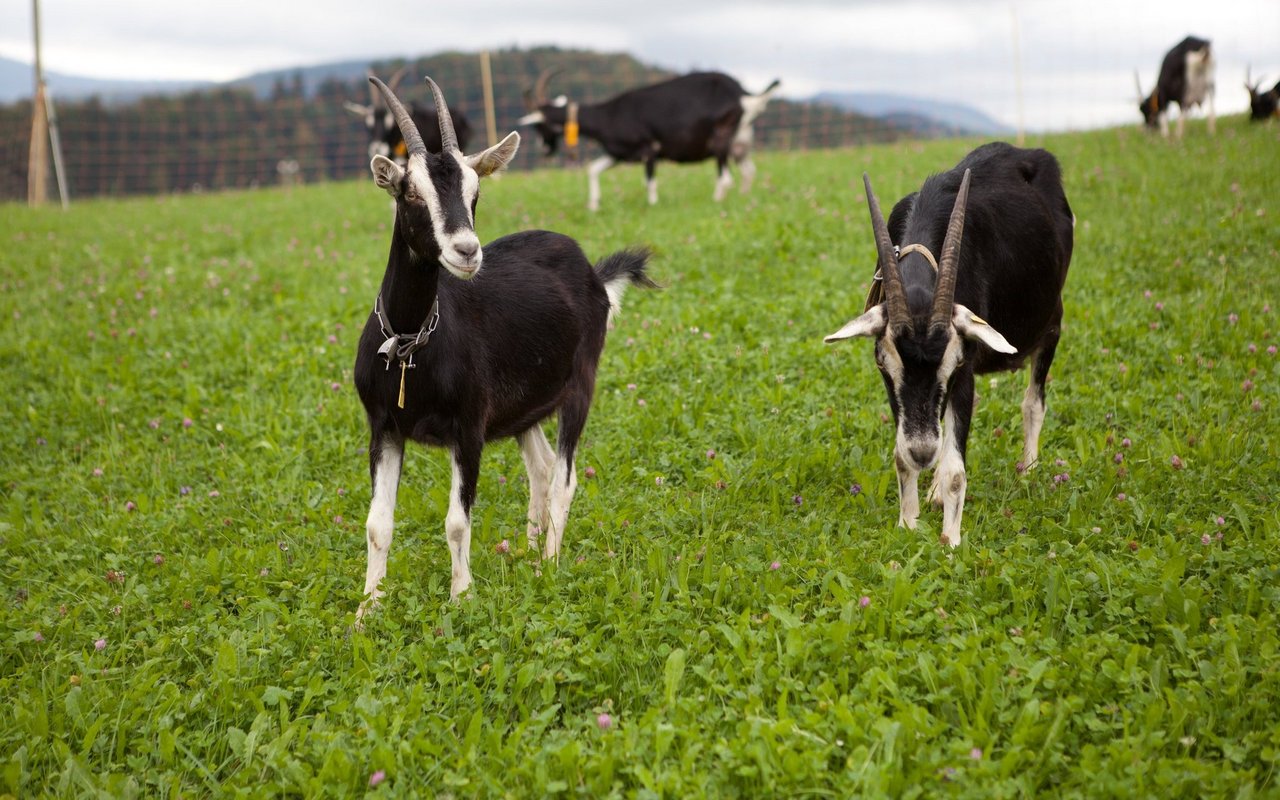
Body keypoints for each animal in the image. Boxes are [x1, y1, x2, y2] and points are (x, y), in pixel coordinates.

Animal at [355, 74, 655, 614]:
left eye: (475, 193)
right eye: (410, 193)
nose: (467, 251)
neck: (410, 346)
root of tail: (591, 270)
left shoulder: (469, 428)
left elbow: (456, 522)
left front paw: (461, 600)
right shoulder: (383, 428)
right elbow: (376, 525)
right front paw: (366, 612)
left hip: (580, 383)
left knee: (563, 477)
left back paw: (548, 565)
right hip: (524, 406)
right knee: (540, 469)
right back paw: (529, 552)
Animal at [512, 69, 773, 212]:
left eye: (539, 125)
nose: (544, 150)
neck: (609, 116)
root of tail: (743, 95)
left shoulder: (649, 150)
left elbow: (650, 183)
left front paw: (653, 206)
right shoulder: (617, 154)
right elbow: (593, 169)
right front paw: (594, 205)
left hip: (720, 139)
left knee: (726, 178)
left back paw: (716, 202)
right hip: (740, 145)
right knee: (749, 171)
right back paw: (744, 198)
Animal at [824, 140, 1075, 545]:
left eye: (953, 362)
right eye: (882, 362)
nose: (922, 452)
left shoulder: (965, 372)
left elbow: (956, 470)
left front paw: (950, 542)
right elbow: (902, 455)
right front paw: (908, 523)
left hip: (1052, 323)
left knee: (1033, 402)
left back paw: (1029, 470)